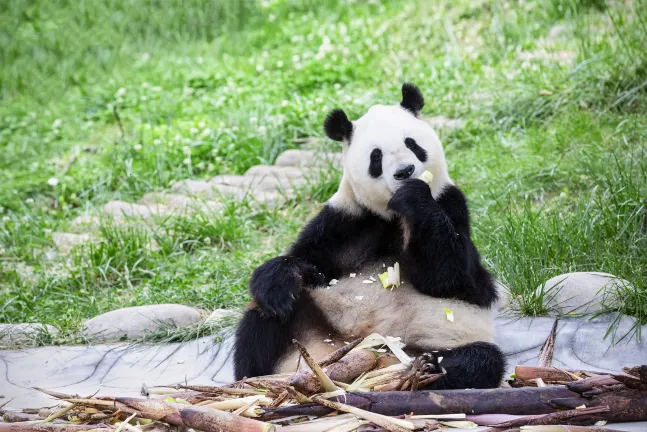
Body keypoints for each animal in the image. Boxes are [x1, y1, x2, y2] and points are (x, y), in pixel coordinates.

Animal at [233, 82, 506, 390]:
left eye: (412, 144)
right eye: (376, 156)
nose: (404, 171)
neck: (391, 214)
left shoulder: (451, 203)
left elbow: (454, 277)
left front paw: (414, 196)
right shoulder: (346, 219)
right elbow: (307, 261)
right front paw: (279, 278)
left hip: (441, 340)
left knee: (480, 361)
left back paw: (425, 369)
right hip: (311, 317)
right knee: (265, 318)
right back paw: (254, 376)